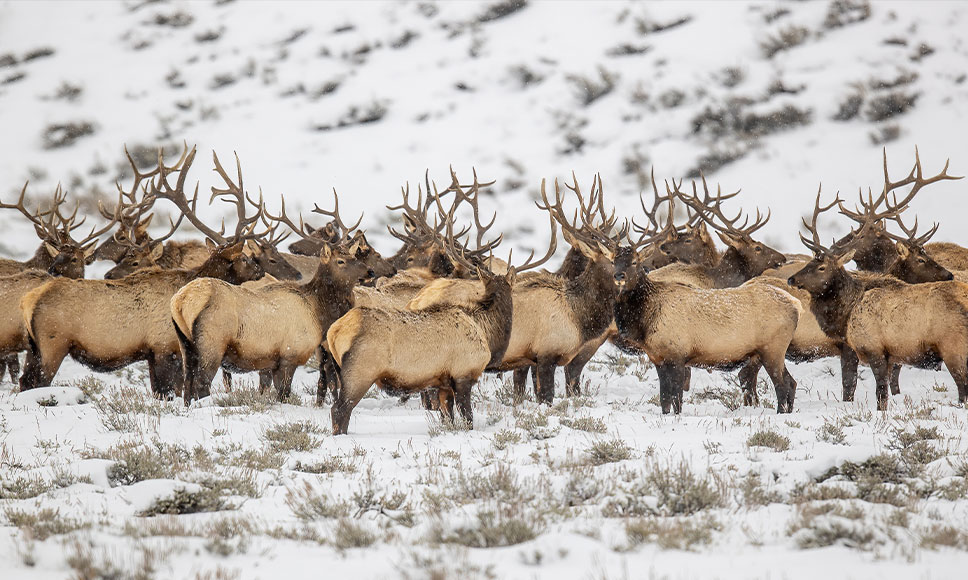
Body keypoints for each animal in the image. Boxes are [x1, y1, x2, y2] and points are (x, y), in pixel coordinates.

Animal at [18, 147, 269, 396]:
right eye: (244, 257)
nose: (260, 270)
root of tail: (29, 300)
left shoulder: (153, 354)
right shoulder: (164, 348)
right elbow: (171, 390)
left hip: (33, 349)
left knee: (24, 380)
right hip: (52, 344)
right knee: (37, 380)